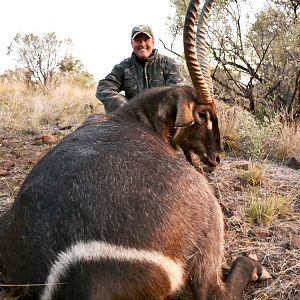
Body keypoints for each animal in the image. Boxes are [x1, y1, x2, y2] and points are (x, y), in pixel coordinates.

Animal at [0, 0, 270, 300]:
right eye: (203, 114)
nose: (216, 157)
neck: (138, 117)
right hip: (208, 222)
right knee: (216, 289)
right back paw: (257, 267)